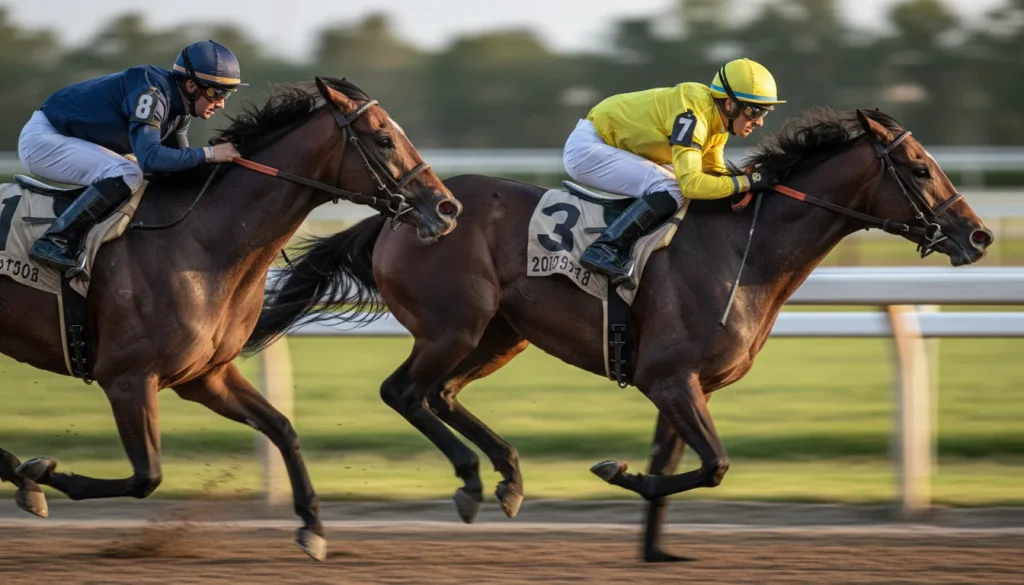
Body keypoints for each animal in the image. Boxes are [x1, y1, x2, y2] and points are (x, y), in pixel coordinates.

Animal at [0, 76, 461, 561]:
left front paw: (313, 527)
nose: (447, 208)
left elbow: (282, 428)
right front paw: (39, 473)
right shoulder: (126, 378)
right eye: (384, 139)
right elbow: (147, 476)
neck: (200, 243)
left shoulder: (206, 375)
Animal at [246, 107, 993, 562]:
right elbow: (714, 465)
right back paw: (472, 481)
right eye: (920, 168)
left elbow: (683, 463)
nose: (979, 235)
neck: (745, 250)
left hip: (499, 334)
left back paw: (509, 476)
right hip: (453, 325)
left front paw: (655, 545)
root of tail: (406, 210)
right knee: (404, 392)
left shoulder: (684, 386)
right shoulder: (670, 379)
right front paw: (619, 472)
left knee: (443, 395)